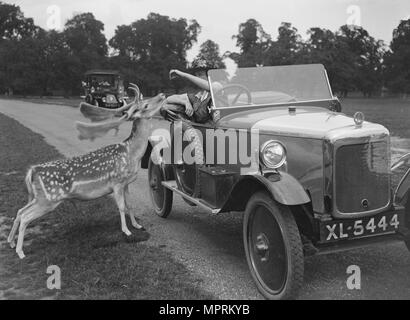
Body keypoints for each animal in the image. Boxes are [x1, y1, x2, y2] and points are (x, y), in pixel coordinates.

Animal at [7, 85, 166, 260]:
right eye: (145, 105)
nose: (162, 94)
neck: (132, 153)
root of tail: (32, 171)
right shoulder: (117, 182)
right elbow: (121, 207)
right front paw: (126, 231)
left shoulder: (126, 183)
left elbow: (129, 205)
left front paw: (137, 225)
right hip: (48, 199)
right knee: (25, 217)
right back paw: (20, 252)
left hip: (39, 197)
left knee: (20, 211)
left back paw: (11, 242)